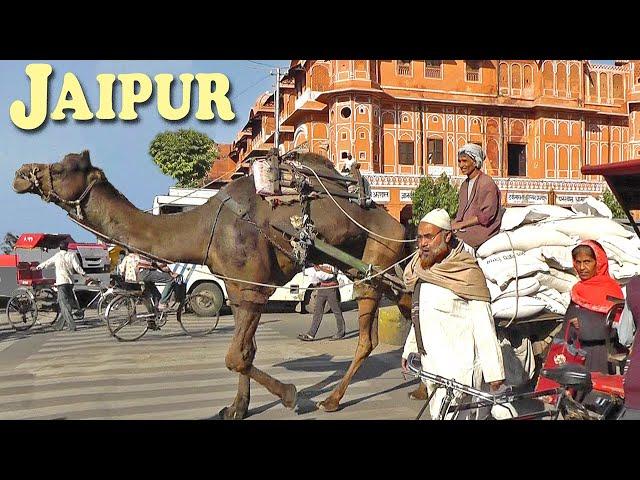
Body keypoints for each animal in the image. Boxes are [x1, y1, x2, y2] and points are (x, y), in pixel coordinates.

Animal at [15, 152, 416, 418]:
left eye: (59, 168)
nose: (20, 173)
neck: (204, 226)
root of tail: (400, 226)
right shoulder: (238, 291)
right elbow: (245, 353)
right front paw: (237, 408)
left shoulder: (252, 289)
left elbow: (234, 356)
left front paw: (290, 395)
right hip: (377, 269)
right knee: (409, 303)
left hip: (375, 259)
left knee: (369, 337)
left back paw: (333, 400)